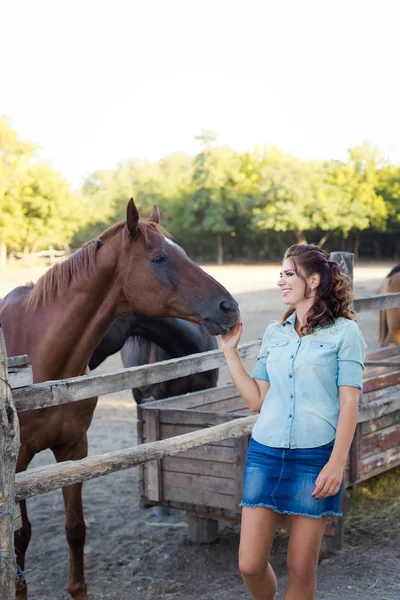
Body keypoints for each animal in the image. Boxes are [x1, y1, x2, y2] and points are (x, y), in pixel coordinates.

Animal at [0, 200, 238, 600]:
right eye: (159, 258)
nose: (229, 307)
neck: (43, 366)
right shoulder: (17, 464)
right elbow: (20, 538)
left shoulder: (73, 450)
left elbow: (75, 527)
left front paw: (78, 590)